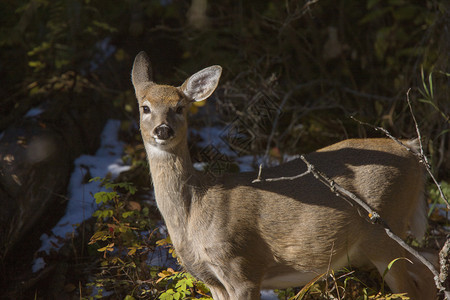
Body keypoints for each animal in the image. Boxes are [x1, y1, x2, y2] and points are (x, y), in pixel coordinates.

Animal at [130, 50, 436, 298]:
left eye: (179, 107)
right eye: (145, 107)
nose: (163, 130)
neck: (194, 210)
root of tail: (413, 151)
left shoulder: (241, 268)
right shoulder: (212, 280)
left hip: (385, 229)